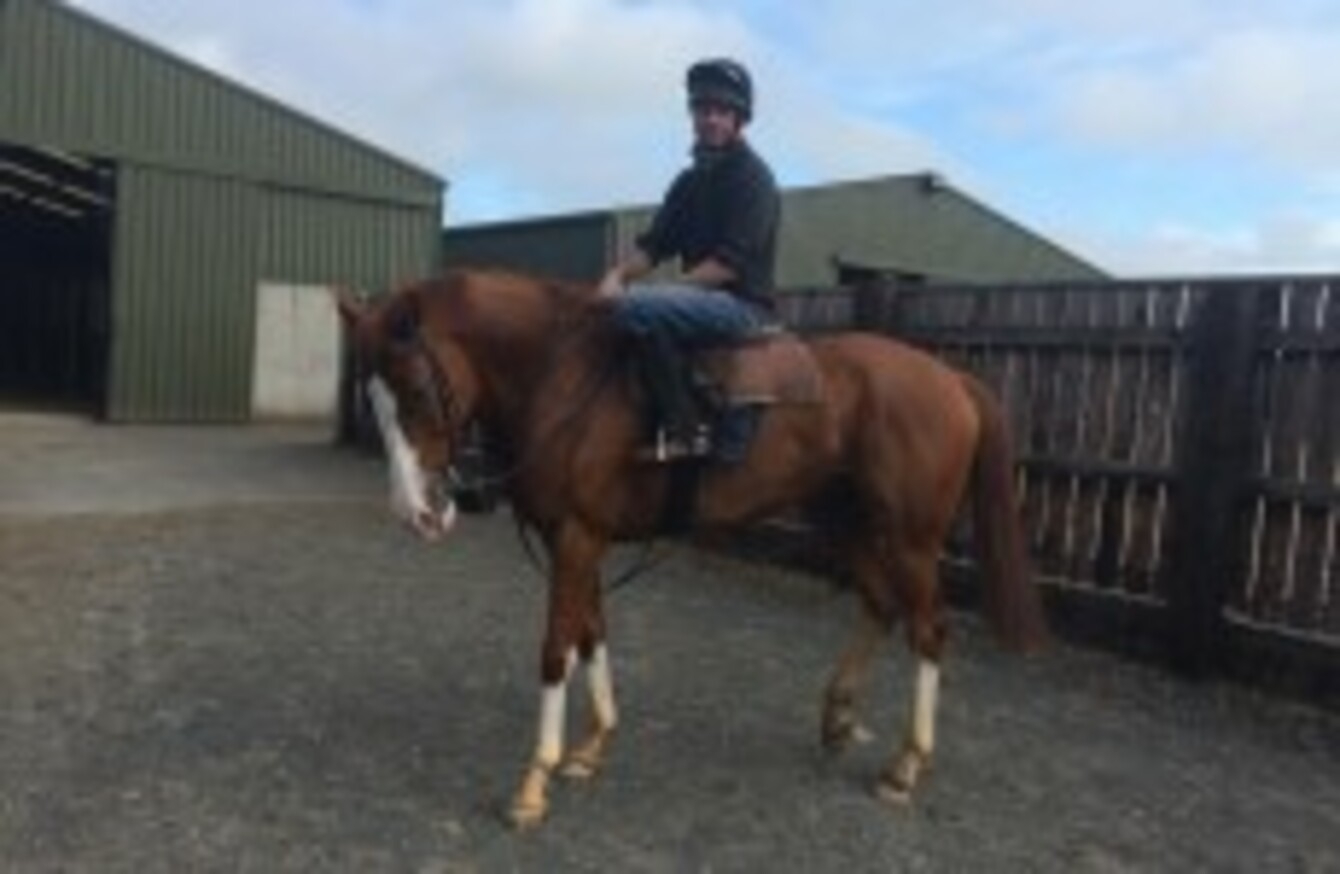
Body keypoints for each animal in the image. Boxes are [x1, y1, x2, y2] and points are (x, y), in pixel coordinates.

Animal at [336, 268, 1047, 828]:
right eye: (371, 395)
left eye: (417, 391)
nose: (417, 512)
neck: (558, 374)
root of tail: (950, 377)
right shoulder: (584, 540)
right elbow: (592, 633)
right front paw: (593, 746)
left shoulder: (575, 537)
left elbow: (557, 650)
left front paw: (533, 784)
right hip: (849, 523)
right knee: (879, 604)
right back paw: (838, 720)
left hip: (911, 538)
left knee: (929, 629)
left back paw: (905, 765)